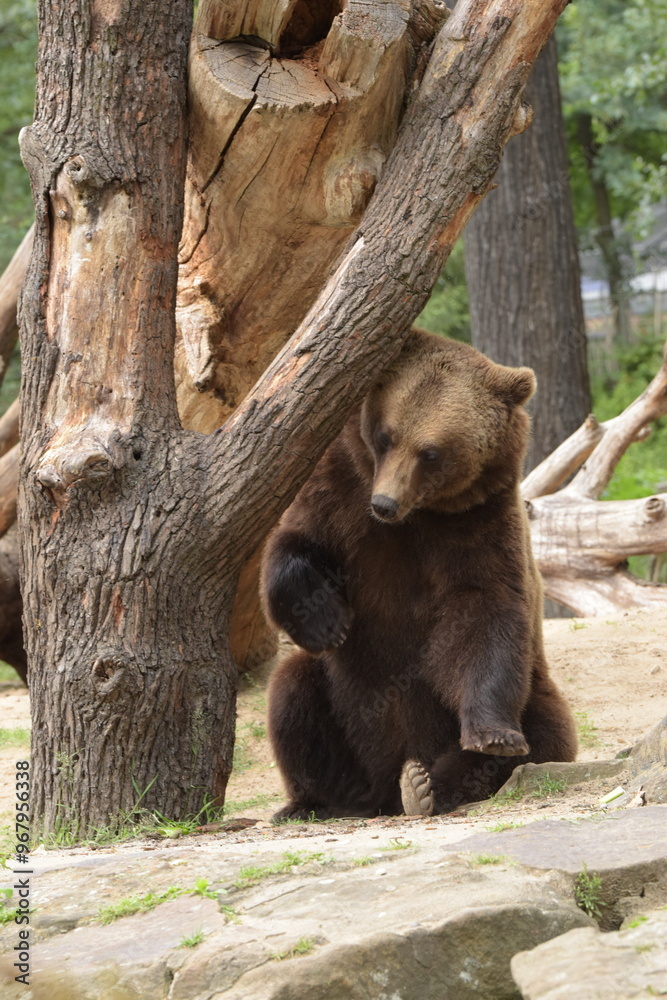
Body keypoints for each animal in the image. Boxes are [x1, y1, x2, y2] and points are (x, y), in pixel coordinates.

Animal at [260, 330, 577, 819]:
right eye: (385, 436)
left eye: (430, 452)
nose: (385, 503)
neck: (418, 517)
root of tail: (380, 791)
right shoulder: (341, 492)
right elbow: (294, 544)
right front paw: (327, 622)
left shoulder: (477, 525)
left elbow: (483, 615)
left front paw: (492, 734)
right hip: (336, 705)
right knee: (293, 697)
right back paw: (313, 801)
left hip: (537, 700)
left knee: (538, 738)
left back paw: (423, 786)